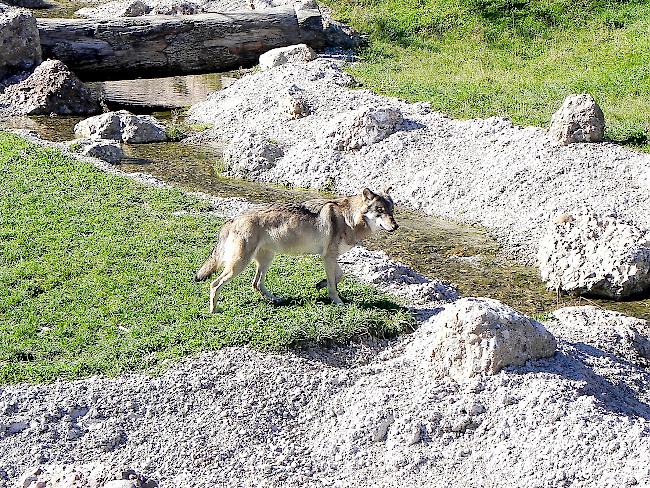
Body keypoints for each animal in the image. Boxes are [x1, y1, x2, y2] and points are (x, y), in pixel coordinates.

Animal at [194, 187, 394, 312]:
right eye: (380, 210)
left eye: (392, 210)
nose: (396, 226)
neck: (349, 218)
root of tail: (234, 218)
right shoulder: (328, 257)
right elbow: (333, 286)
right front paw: (338, 302)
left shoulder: (330, 258)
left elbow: (339, 276)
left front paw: (320, 284)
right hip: (239, 265)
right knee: (214, 284)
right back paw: (214, 310)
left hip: (266, 260)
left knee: (256, 284)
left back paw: (275, 299)